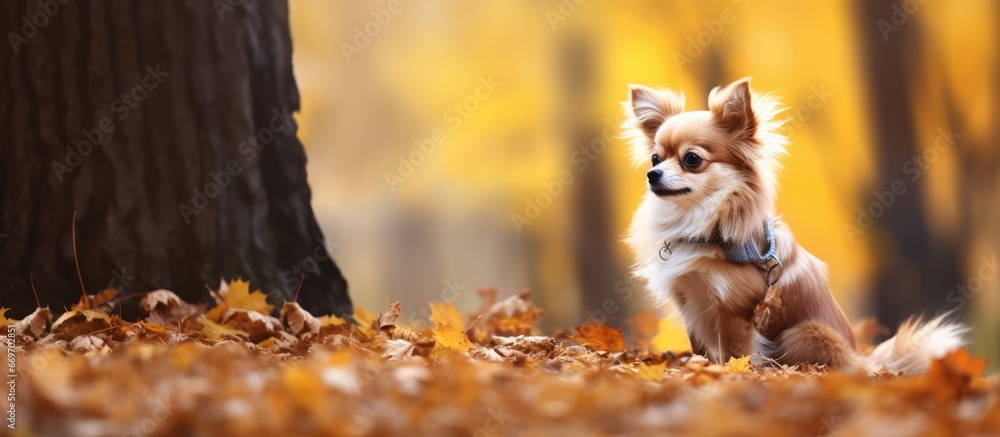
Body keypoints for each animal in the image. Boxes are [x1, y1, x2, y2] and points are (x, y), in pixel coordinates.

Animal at [628, 77, 964, 372]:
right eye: (655, 158)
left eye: (692, 159)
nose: (652, 175)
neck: (701, 223)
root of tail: (860, 359)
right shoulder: (690, 302)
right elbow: (703, 350)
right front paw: (702, 367)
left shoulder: (734, 311)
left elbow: (733, 353)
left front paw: (727, 373)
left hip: (801, 332)